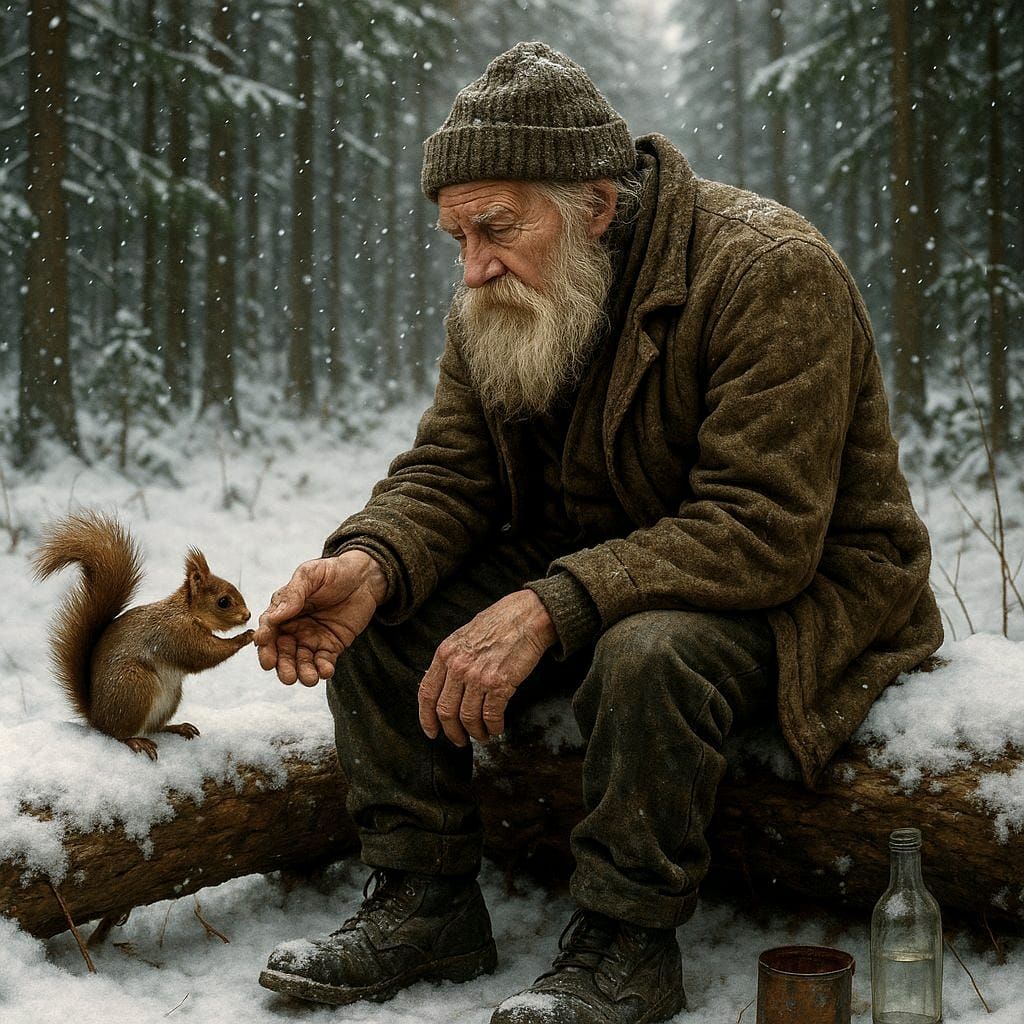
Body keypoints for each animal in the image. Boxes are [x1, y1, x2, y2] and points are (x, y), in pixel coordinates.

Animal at [33, 510, 254, 760]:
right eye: (223, 602)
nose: (248, 615)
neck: (187, 612)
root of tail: (97, 718)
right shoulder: (175, 633)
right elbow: (204, 654)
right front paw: (245, 637)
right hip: (135, 685)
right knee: (119, 734)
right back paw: (136, 741)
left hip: (170, 697)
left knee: (153, 727)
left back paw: (177, 727)